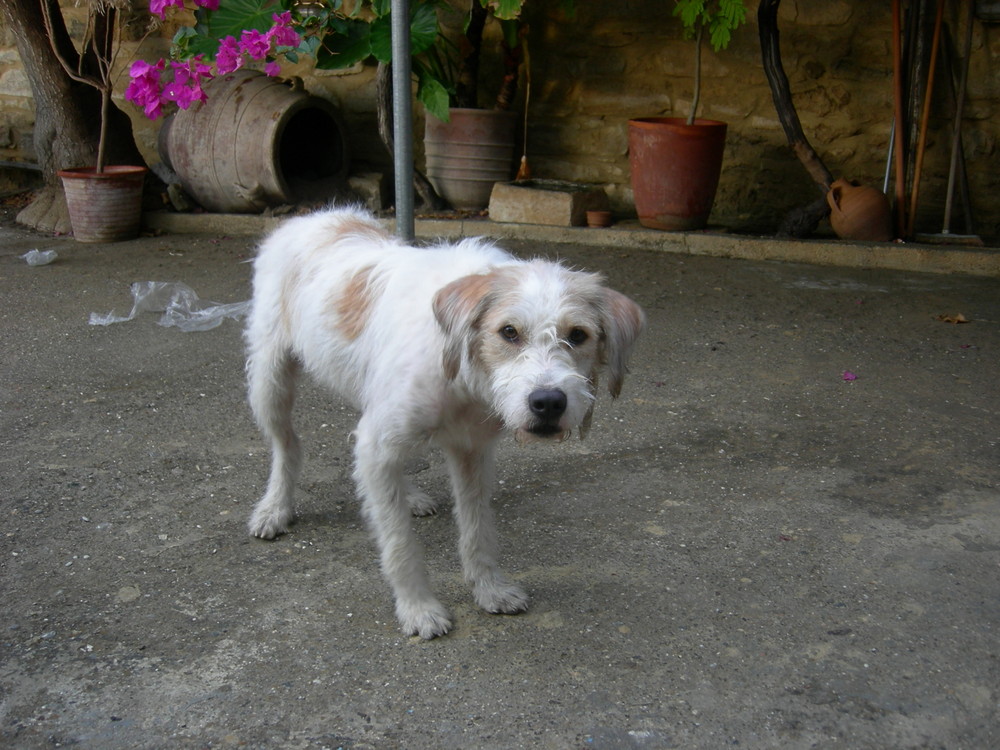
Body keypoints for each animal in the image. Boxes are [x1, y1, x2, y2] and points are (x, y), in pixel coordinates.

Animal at [246, 206, 644, 640]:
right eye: (508, 332)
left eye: (578, 335)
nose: (548, 402)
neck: (462, 371)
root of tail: (312, 216)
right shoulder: (379, 444)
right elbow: (399, 543)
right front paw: (418, 609)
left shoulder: (471, 452)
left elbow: (476, 529)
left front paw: (489, 589)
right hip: (270, 383)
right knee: (287, 445)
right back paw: (274, 508)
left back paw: (409, 495)